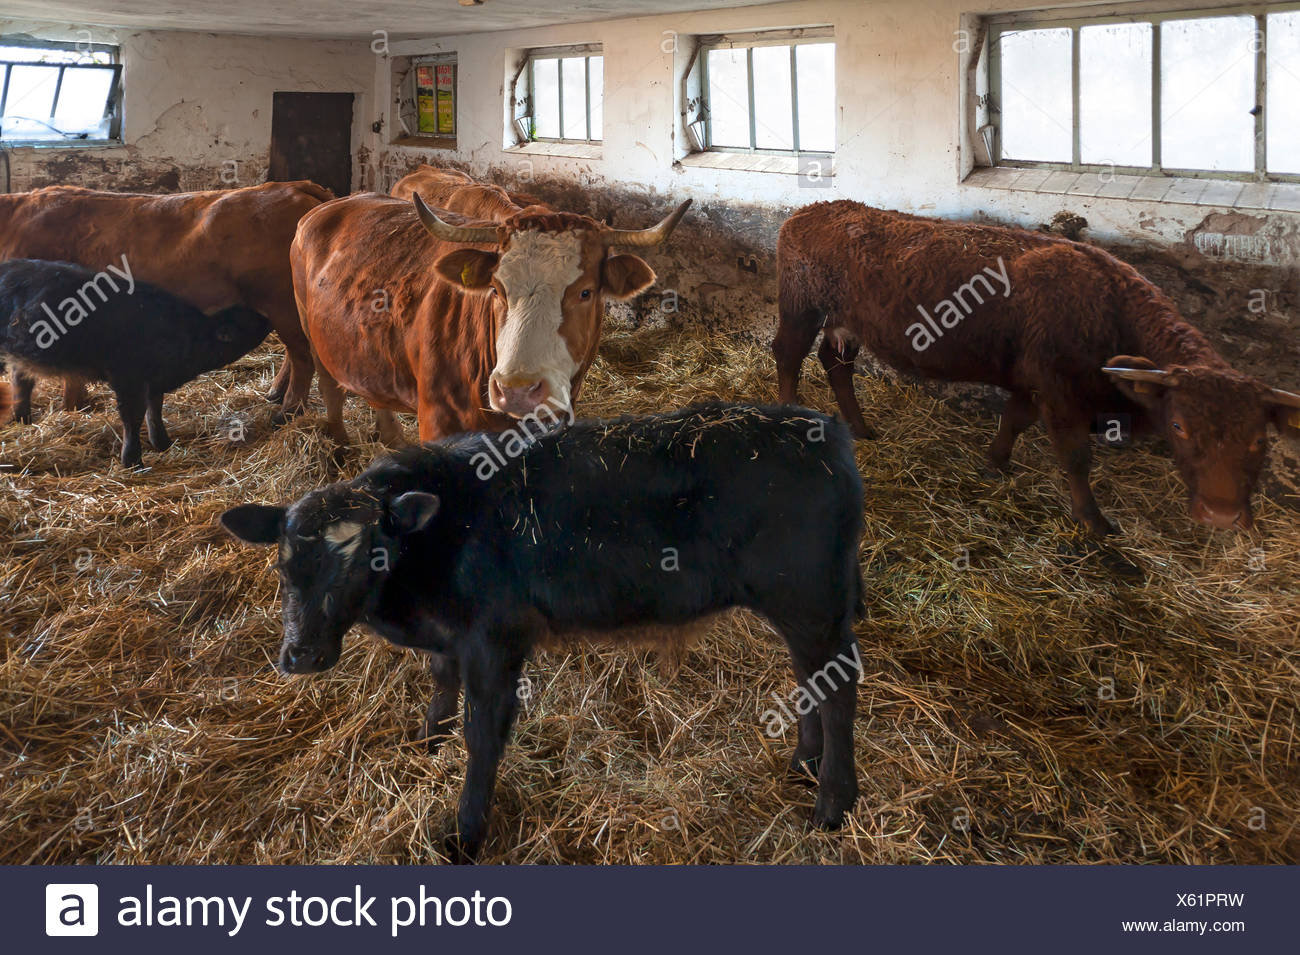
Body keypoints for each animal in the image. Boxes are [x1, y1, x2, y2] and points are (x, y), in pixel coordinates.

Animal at [0, 180, 332, 422]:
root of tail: (291, 185)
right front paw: (77, 406)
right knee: (295, 353)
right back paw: (276, 393)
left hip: (281, 304)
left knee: (303, 356)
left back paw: (288, 410)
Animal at [0, 258, 270, 466]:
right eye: (248, 322)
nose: (268, 319)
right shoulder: (128, 378)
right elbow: (133, 417)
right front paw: (132, 460)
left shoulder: (155, 381)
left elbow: (155, 411)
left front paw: (162, 443)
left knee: (21, 382)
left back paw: (22, 419)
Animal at [220, 402, 865, 863]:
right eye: (282, 565)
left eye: (367, 558)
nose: (301, 654)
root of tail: (824, 428)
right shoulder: (450, 638)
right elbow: (440, 687)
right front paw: (426, 744)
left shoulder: (496, 639)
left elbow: (483, 735)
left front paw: (464, 835)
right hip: (801, 608)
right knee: (810, 679)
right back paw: (803, 764)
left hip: (812, 601)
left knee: (838, 688)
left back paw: (832, 804)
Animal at [290, 181, 690, 446]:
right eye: (496, 289)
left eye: (586, 292)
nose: (517, 390)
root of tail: (325, 208)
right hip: (310, 328)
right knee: (330, 387)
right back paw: (341, 447)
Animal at [774, 200, 1300, 535]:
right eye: (1179, 425)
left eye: (1259, 439)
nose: (1221, 515)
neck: (1109, 306)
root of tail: (815, 209)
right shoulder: (1061, 392)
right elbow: (1075, 457)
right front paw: (1094, 522)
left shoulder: (1032, 383)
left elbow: (1014, 419)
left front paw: (996, 462)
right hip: (801, 307)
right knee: (788, 355)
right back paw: (792, 416)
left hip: (844, 322)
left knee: (835, 364)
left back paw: (861, 428)